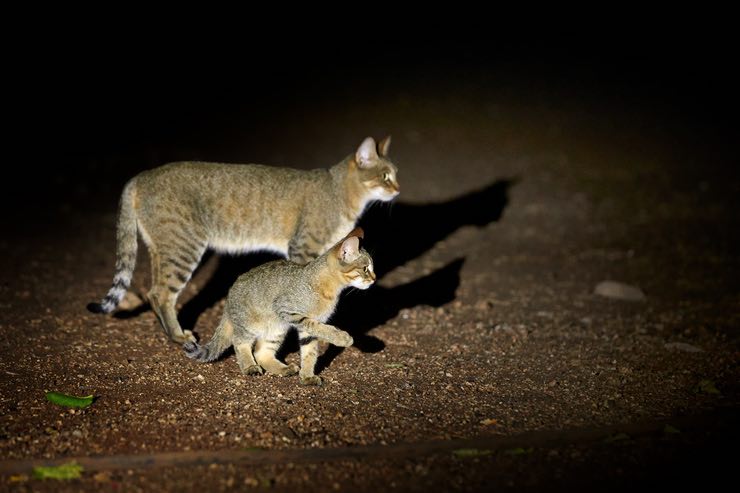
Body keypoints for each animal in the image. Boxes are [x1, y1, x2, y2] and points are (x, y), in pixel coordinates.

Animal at [86, 135, 398, 342]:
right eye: (385, 175)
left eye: (394, 174)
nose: (397, 189)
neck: (339, 191)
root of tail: (140, 176)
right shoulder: (304, 247)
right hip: (183, 248)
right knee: (161, 293)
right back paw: (178, 336)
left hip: (162, 248)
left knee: (153, 292)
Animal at [182, 227, 372, 384]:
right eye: (365, 268)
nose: (374, 278)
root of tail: (228, 299)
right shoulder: (288, 311)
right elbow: (321, 328)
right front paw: (342, 338)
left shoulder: (306, 329)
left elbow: (310, 352)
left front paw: (307, 376)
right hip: (249, 325)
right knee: (240, 342)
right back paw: (249, 366)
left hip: (276, 330)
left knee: (261, 352)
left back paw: (283, 369)